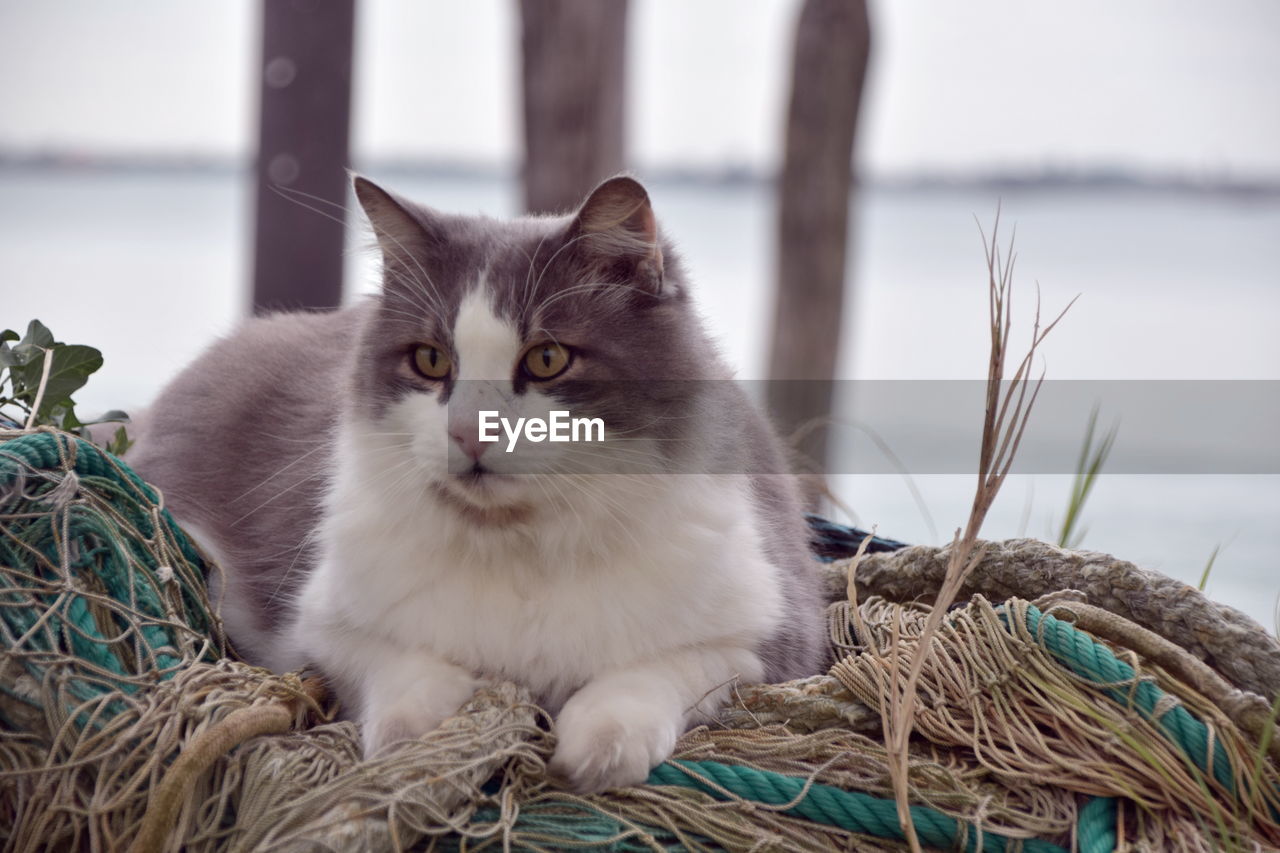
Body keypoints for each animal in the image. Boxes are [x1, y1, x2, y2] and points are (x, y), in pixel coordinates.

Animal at [127, 174, 829, 788]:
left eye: (547, 359)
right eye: (431, 360)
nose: (467, 434)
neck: (521, 543)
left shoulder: (772, 635)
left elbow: (650, 677)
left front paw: (601, 746)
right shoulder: (315, 622)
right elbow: (404, 680)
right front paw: (422, 738)